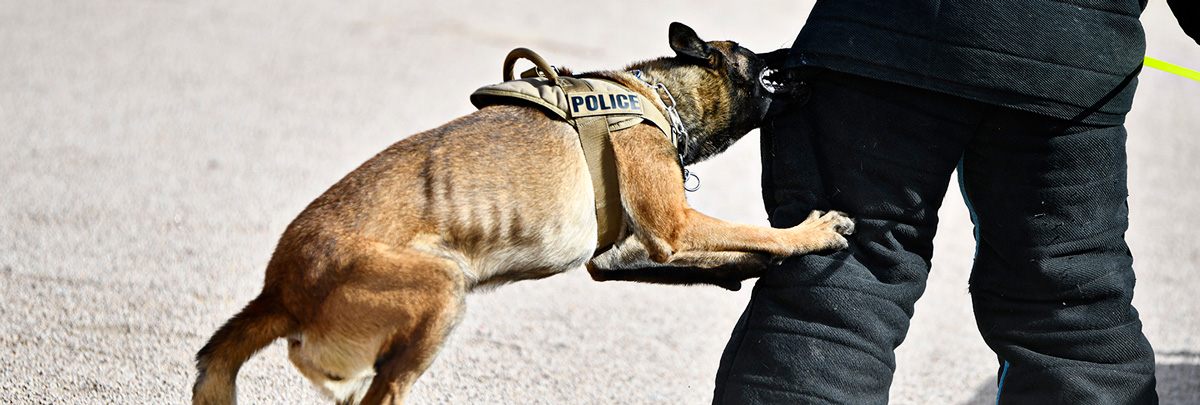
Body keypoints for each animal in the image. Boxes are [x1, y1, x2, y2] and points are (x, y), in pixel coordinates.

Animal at [194, 22, 854, 405]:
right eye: (754, 52)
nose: (804, 54)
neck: (658, 96)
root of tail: (279, 289)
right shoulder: (675, 227)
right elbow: (757, 232)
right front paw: (812, 234)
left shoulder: (623, 255)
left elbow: (725, 254)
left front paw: (749, 270)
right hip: (441, 288)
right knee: (370, 387)